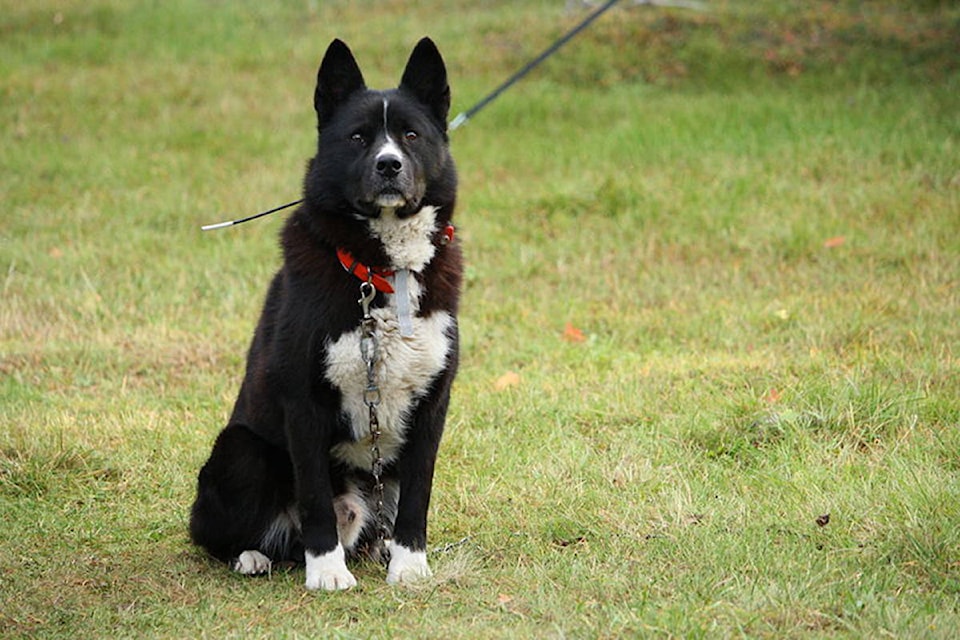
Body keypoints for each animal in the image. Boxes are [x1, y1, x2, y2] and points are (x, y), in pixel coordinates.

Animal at [190, 38, 462, 592]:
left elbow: (418, 496)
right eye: (358, 137)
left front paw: (410, 566)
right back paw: (253, 556)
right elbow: (315, 498)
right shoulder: (304, 403)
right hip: (240, 452)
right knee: (226, 535)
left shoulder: (431, 406)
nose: (388, 165)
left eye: (411, 134)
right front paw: (328, 573)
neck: (382, 271)